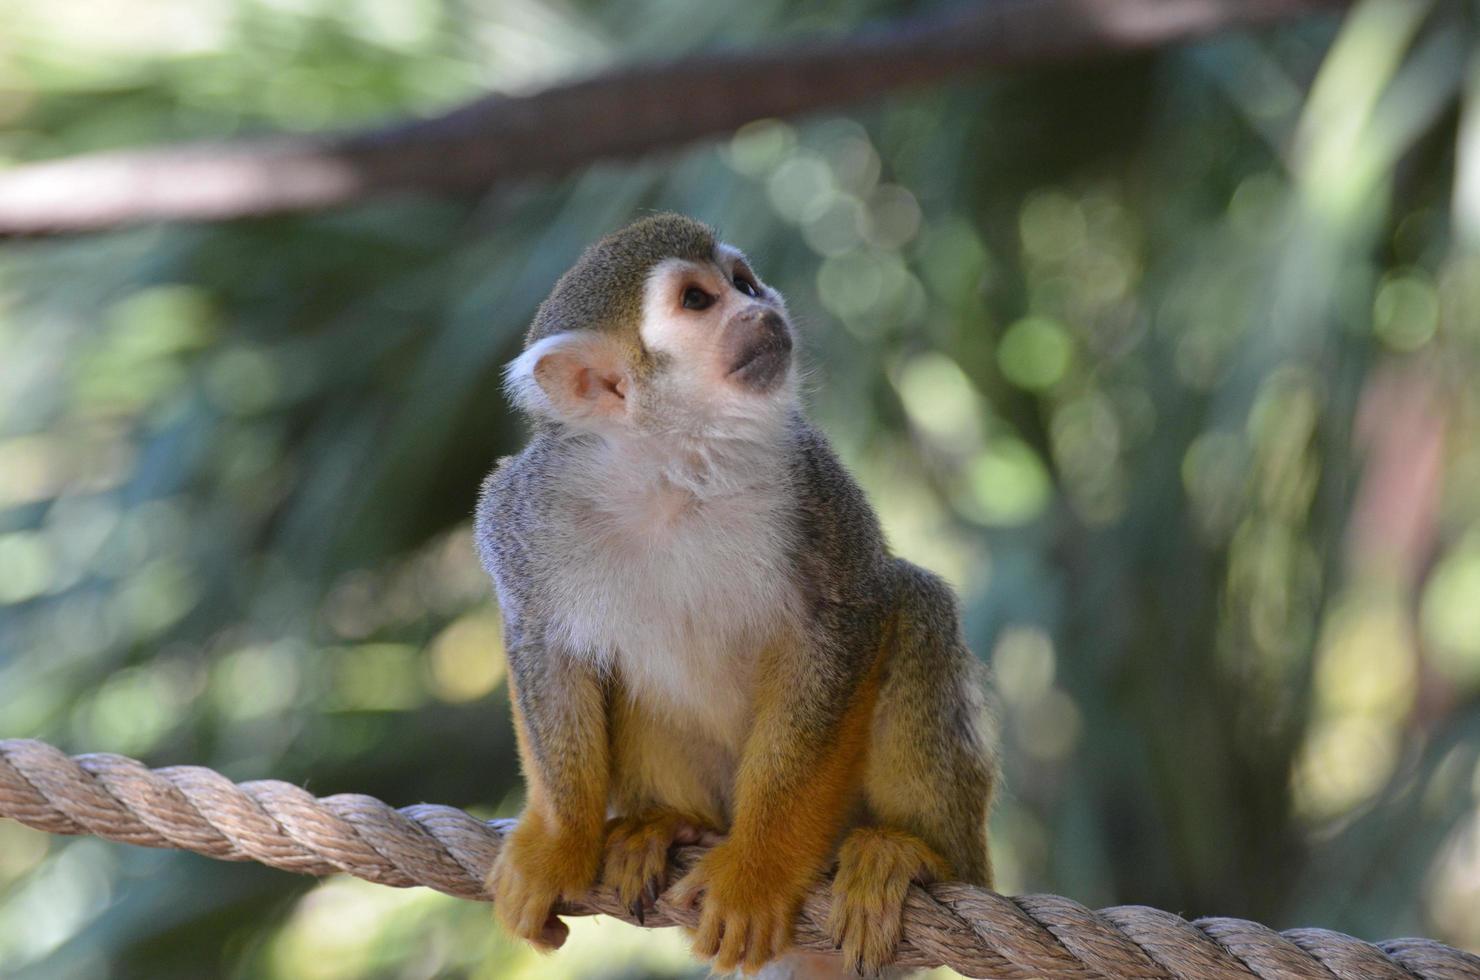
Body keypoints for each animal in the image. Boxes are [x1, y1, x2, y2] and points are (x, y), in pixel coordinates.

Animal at [479, 213, 1000, 977]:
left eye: (744, 283)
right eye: (699, 301)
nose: (762, 310)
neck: (675, 463)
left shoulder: (810, 481)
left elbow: (849, 618)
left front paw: (758, 871)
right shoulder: (526, 511)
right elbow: (541, 642)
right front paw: (555, 842)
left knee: (916, 606)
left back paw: (922, 856)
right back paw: (667, 825)